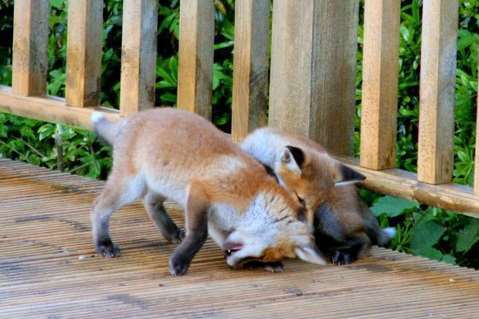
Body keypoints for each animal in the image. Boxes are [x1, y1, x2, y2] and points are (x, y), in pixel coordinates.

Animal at [90, 109, 326, 276]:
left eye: (261, 257)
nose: (233, 265)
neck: (252, 198)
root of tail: (133, 118)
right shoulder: (200, 193)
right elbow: (199, 235)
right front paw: (180, 262)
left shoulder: (215, 217)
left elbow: (219, 237)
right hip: (132, 186)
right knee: (98, 208)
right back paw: (104, 243)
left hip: (166, 186)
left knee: (150, 202)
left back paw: (170, 231)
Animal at [242, 127, 396, 264]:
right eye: (300, 199)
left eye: (317, 204)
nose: (310, 232)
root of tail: (360, 203)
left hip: (331, 219)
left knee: (365, 240)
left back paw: (345, 254)